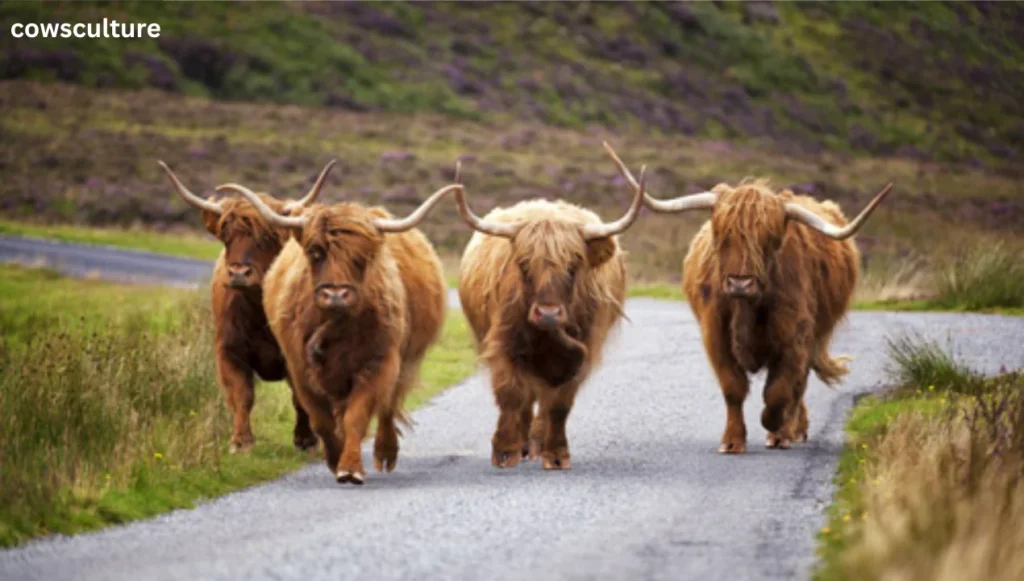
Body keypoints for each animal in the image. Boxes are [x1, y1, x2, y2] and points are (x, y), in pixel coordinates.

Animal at [157, 159, 331, 454]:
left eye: (266, 237)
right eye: (226, 236)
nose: (238, 273)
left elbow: (300, 396)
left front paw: (306, 439)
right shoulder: (229, 349)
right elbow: (241, 394)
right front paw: (240, 441)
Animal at [230, 163, 458, 485]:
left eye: (362, 257)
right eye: (315, 252)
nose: (336, 293)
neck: (336, 324)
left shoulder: (377, 364)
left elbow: (357, 416)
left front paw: (350, 467)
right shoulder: (300, 369)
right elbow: (321, 419)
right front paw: (334, 457)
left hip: (403, 360)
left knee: (388, 407)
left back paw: (385, 452)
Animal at [452, 159, 643, 473]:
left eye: (574, 264)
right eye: (523, 263)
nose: (549, 313)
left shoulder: (580, 353)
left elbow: (559, 405)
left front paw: (555, 453)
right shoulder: (503, 344)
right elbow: (510, 393)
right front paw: (505, 451)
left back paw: (537, 443)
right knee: (526, 397)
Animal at [602, 141, 892, 454]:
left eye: (770, 238)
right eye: (722, 234)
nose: (740, 282)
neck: (747, 308)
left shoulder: (795, 337)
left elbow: (779, 391)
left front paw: (777, 429)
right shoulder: (715, 336)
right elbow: (733, 388)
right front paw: (732, 441)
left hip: (816, 333)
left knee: (798, 386)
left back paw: (792, 429)